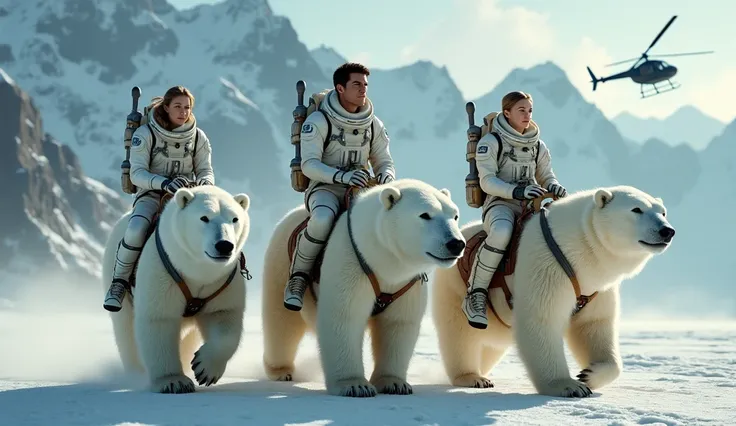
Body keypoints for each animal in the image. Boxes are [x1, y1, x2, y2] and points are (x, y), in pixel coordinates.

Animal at [102, 185, 253, 394]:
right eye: (204, 217)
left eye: (234, 219)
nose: (224, 245)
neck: (196, 270)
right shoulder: (163, 270)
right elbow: (159, 320)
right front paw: (173, 382)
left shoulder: (221, 281)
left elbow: (224, 318)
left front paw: (204, 368)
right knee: (126, 331)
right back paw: (136, 372)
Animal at [262, 178, 462, 398]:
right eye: (425, 214)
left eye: (455, 215)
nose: (456, 243)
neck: (381, 258)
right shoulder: (352, 261)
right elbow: (345, 317)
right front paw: (355, 386)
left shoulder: (406, 283)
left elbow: (398, 324)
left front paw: (395, 384)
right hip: (281, 263)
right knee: (281, 322)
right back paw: (281, 370)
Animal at [432, 186, 680, 400]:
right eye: (636, 209)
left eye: (662, 211)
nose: (667, 231)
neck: (578, 247)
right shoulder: (550, 264)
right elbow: (542, 321)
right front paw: (570, 386)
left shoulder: (596, 286)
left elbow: (594, 325)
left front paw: (589, 374)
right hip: (454, 286)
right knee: (460, 335)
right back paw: (473, 377)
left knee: (492, 344)